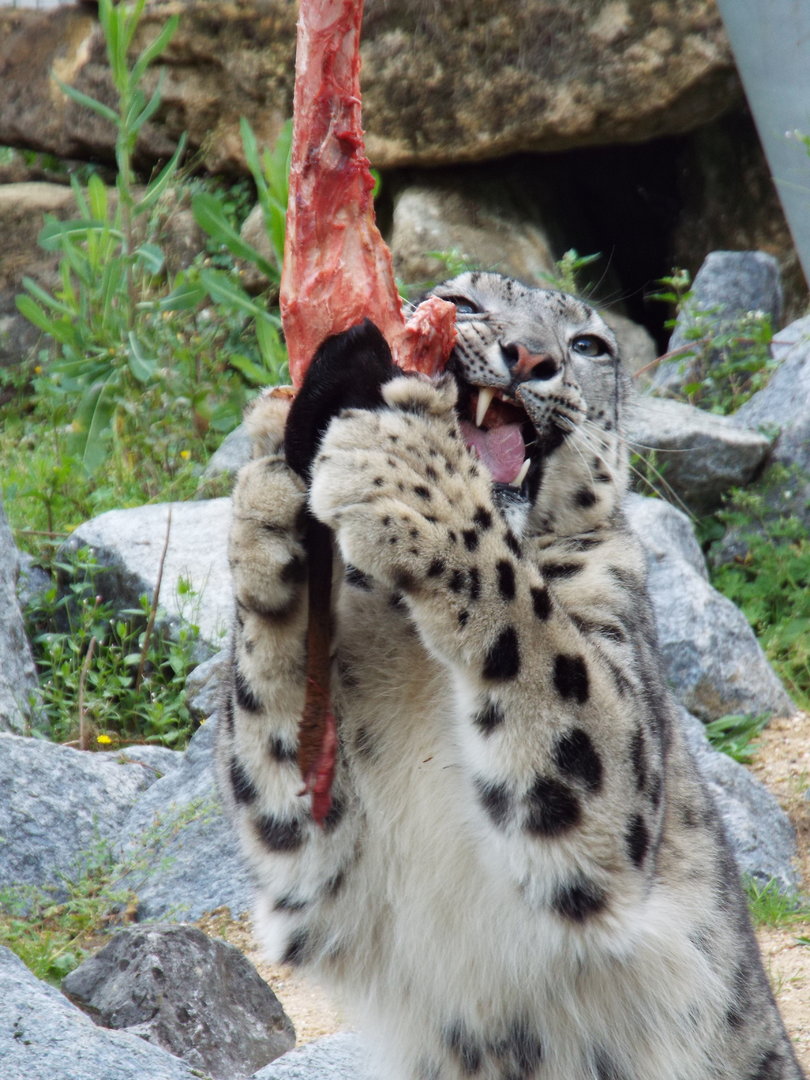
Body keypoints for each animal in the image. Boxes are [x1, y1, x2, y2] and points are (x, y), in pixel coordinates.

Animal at [216, 271, 805, 1080]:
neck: (415, 650)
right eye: (465, 304)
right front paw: (270, 485)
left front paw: (410, 475)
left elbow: (535, 634)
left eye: (589, 344)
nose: (528, 356)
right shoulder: (322, 857)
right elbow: (271, 751)